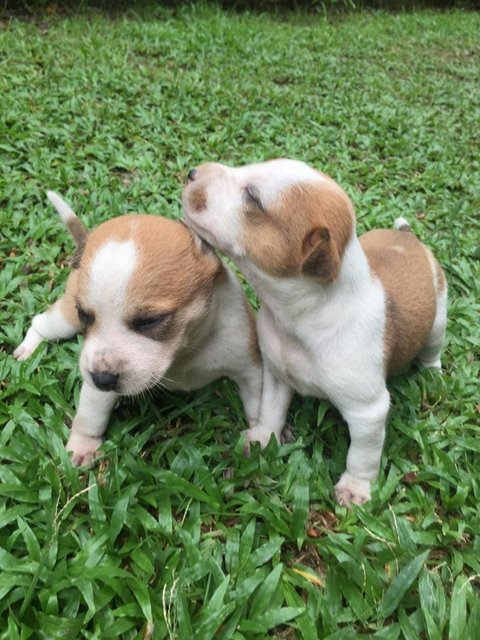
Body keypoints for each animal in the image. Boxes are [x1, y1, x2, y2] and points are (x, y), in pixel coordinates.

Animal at [15, 190, 262, 464]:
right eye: (85, 315)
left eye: (150, 321)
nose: (102, 379)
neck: (185, 351)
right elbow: (90, 415)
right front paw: (83, 444)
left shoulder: (249, 368)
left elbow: (258, 403)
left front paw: (262, 437)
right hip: (66, 318)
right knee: (41, 322)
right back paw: (29, 347)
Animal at [182, 160, 448, 504]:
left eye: (253, 198)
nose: (192, 173)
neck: (300, 319)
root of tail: (408, 238)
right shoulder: (277, 375)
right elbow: (270, 410)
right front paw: (262, 438)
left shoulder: (368, 411)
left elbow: (363, 455)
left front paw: (356, 488)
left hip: (438, 319)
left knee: (432, 351)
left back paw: (432, 374)